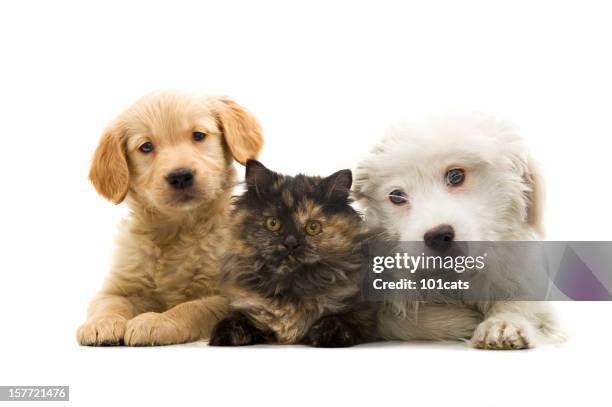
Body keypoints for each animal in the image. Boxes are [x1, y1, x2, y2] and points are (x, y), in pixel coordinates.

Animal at [76, 91, 262, 348]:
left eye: (198, 135)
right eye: (146, 146)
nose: (180, 176)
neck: (178, 229)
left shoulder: (226, 295)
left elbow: (192, 308)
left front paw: (155, 321)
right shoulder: (120, 284)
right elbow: (109, 302)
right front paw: (102, 323)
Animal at [210, 161, 378, 350]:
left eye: (313, 227)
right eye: (273, 223)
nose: (290, 242)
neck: (290, 289)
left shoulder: (363, 313)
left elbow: (340, 319)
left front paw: (325, 334)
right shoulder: (245, 305)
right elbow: (236, 318)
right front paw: (225, 335)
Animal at [354, 115, 564, 350]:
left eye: (455, 175)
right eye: (397, 196)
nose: (438, 236)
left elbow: (524, 303)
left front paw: (503, 323)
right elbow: (394, 320)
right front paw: (461, 321)